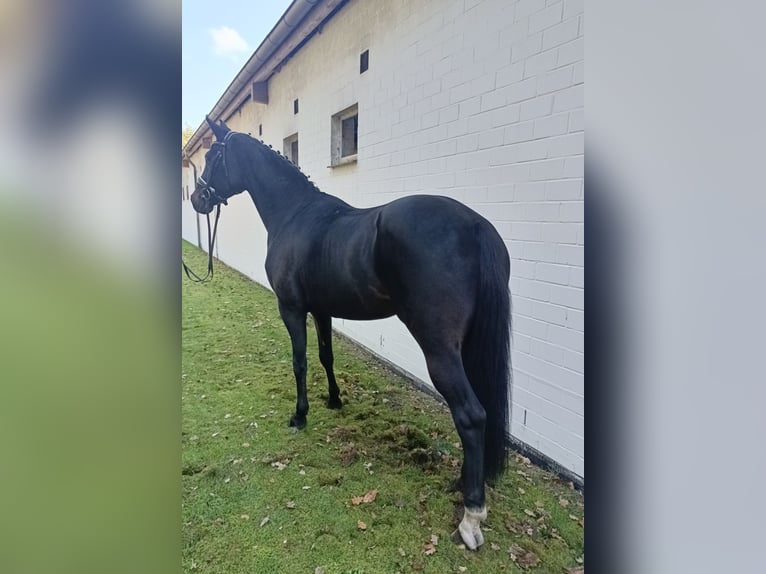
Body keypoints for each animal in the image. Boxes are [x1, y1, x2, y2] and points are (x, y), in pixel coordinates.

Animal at [190, 115, 512, 552]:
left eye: (212, 157)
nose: (197, 199)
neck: (295, 214)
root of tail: (475, 225)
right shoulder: (322, 311)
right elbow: (325, 356)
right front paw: (334, 400)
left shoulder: (291, 309)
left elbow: (300, 361)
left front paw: (300, 415)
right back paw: (462, 483)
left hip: (439, 349)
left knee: (472, 416)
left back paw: (472, 515)